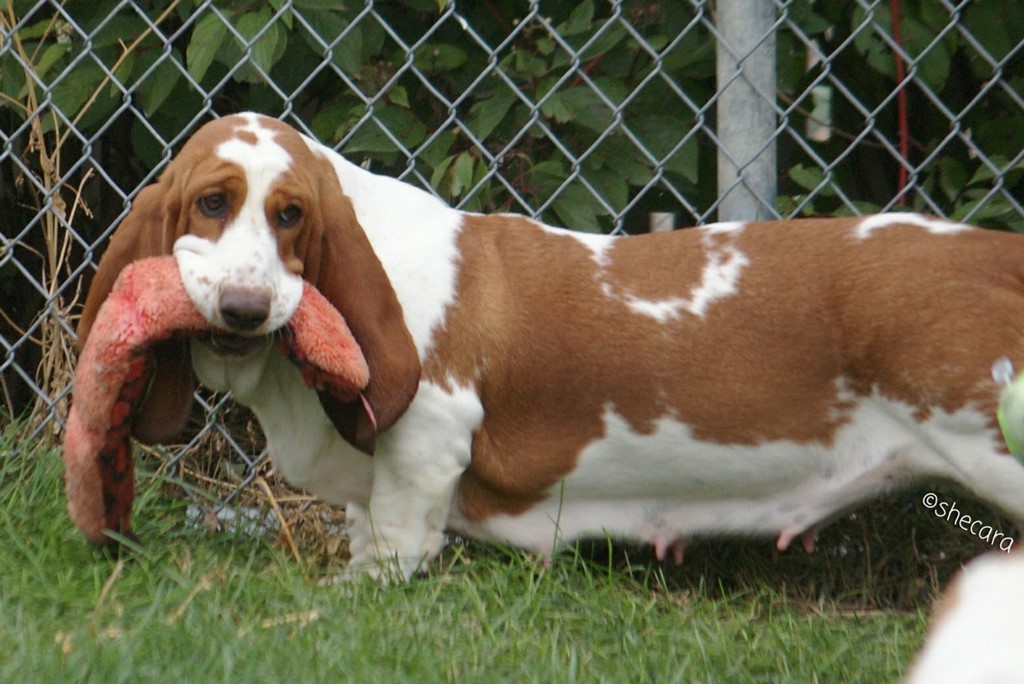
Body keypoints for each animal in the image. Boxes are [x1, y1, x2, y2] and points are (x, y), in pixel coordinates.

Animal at [81, 111, 1024, 577]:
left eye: (291, 216)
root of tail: (994, 252)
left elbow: (398, 542)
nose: (244, 310)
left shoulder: (428, 442)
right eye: (211, 203)